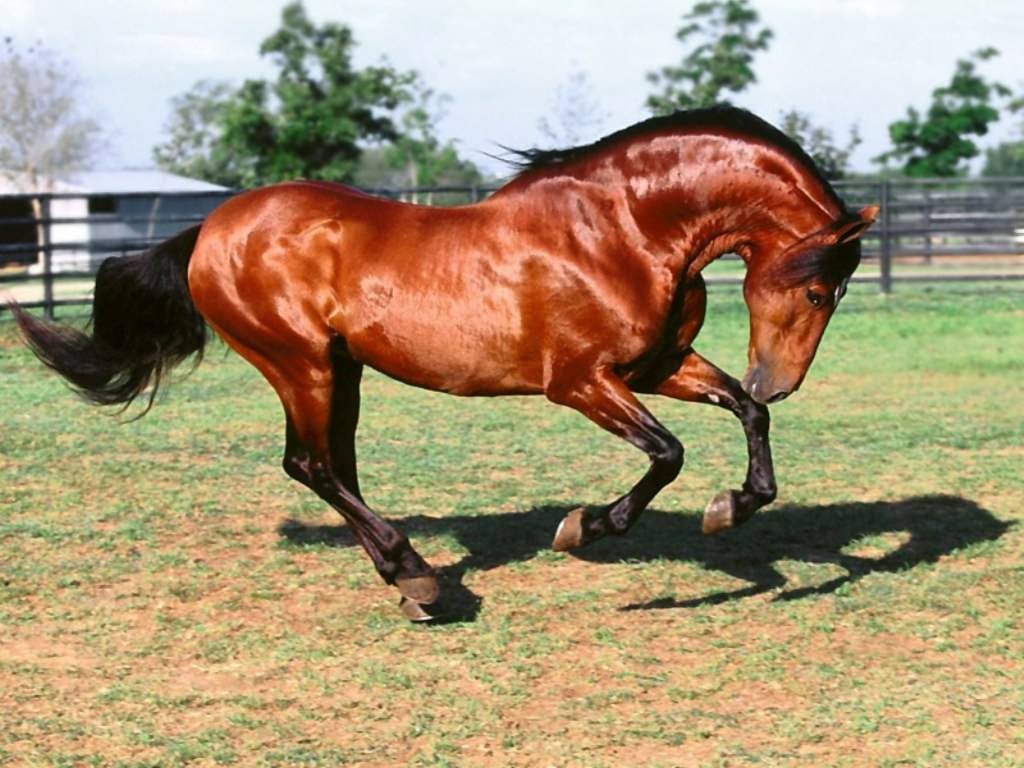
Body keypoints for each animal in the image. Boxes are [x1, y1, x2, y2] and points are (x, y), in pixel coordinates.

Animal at [14, 106, 877, 621]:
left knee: (336, 465)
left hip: (342, 369)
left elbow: (743, 416)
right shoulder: (580, 383)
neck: (623, 229)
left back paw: (410, 583)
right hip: (299, 362)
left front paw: (731, 506)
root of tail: (212, 228)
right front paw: (585, 528)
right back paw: (417, 572)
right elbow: (667, 454)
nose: (782, 380)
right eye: (819, 288)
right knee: (310, 465)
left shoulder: (655, 366)